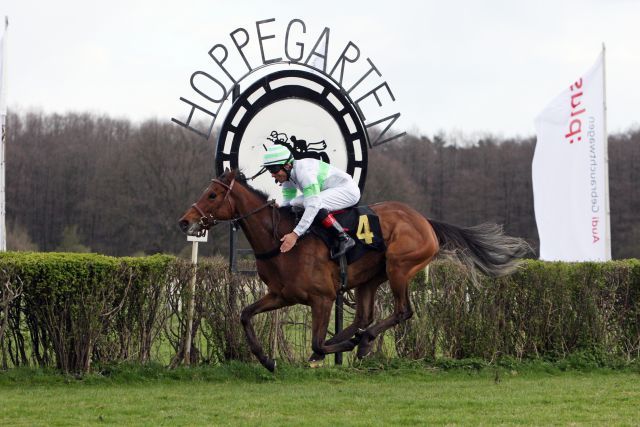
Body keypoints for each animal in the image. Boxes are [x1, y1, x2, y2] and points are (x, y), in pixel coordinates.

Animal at [179, 168, 528, 372]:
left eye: (212, 194)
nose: (185, 221)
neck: (281, 241)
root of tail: (425, 221)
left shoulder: (321, 298)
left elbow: (316, 341)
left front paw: (333, 349)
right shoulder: (281, 295)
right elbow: (245, 315)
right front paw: (266, 359)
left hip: (399, 266)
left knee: (402, 312)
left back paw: (362, 341)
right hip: (369, 280)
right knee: (363, 317)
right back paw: (359, 340)